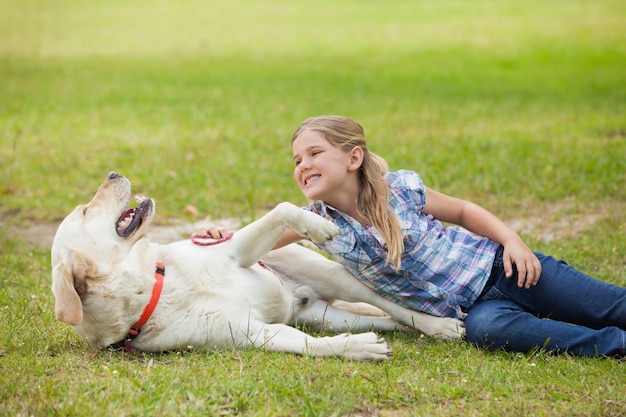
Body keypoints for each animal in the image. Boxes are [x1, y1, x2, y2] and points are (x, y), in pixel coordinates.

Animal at [52, 171, 464, 360]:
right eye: (85, 211)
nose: (113, 173)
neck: (157, 284)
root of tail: (301, 298)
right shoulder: (253, 334)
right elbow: (311, 345)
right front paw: (358, 349)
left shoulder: (236, 251)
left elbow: (281, 209)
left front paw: (316, 224)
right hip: (325, 316)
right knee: (385, 320)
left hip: (333, 276)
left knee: (389, 304)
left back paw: (439, 325)